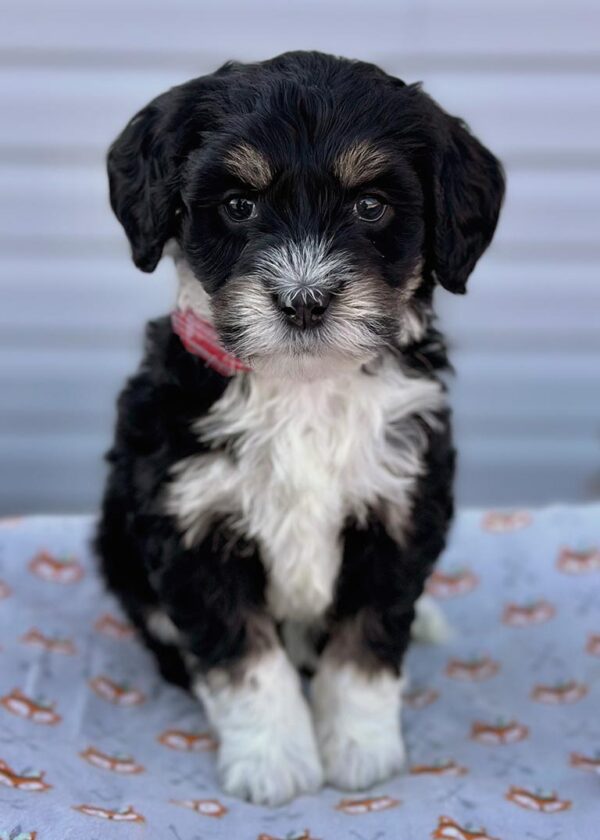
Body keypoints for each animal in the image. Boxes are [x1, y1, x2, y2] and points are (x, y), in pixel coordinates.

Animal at [96, 50, 504, 808]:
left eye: (371, 206)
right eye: (238, 205)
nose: (304, 301)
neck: (303, 386)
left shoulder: (401, 506)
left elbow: (367, 640)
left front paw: (362, 752)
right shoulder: (190, 521)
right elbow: (245, 658)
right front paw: (274, 761)